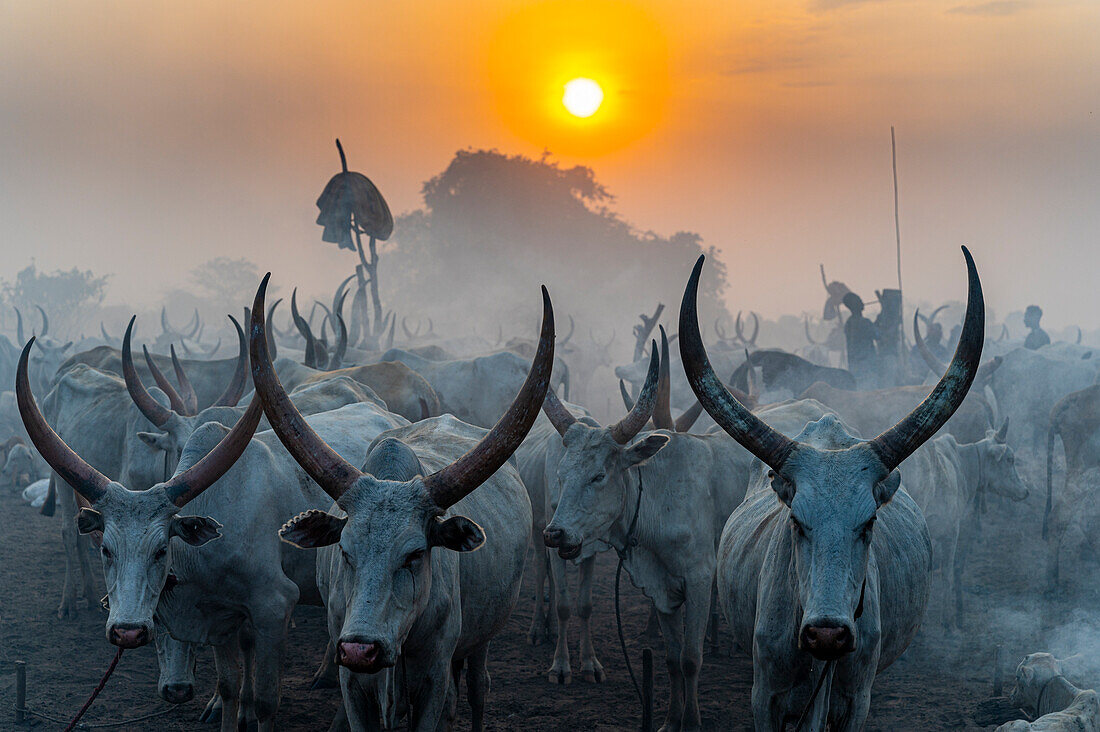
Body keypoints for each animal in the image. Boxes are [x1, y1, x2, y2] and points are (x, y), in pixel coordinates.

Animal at [897, 422, 1025, 629]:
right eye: (1009, 459)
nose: (1025, 491)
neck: (963, 467)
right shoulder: (951, 531)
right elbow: (947, 573)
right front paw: (948, 619)